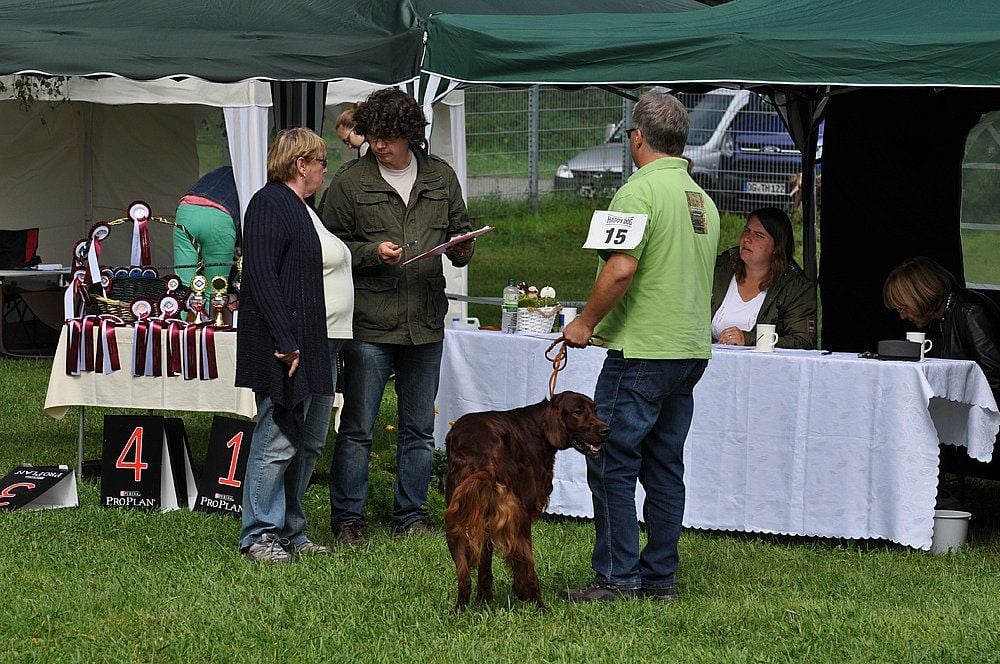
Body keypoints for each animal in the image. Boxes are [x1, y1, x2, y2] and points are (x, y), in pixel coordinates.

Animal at [446, 390, 608, 612]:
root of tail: (481, 450)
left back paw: (459, 610)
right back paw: (539, 605)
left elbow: (485, 563)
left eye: (594, 409)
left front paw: (484, 602)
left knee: (463, 576)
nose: (607, 430)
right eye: (577, 412)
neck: (538, 427)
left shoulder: (486, 518)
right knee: (526, 566)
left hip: (455, 520)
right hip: (517, 520)